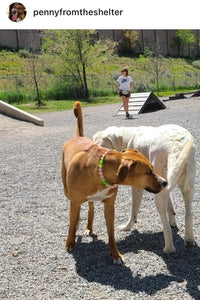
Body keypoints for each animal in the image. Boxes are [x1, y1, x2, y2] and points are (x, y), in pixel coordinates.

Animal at [61, 101, 167, 264]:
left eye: (152, 169)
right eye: (148, 172)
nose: (165, 182)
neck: (101, 173)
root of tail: (78, 137)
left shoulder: (110, 205)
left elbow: (111, 233)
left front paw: (115, 254)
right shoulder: (75, 200)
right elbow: (72, 223)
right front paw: (70, 243)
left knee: (90, 208)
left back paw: (88, 227)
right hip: (68, 191)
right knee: (76, 211)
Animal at [93, 124, 195, 253]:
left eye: (102, 149)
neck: (128, 137)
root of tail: (176, 145)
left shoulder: (138, 187)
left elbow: (133, 210)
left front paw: (127, 227)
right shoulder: (164, 184)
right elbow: (170, 205)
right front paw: (173, 221)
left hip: (159, 193)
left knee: (165, 225)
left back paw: (168, 249)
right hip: (187, 187)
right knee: (189, 214)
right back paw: (189, 240)